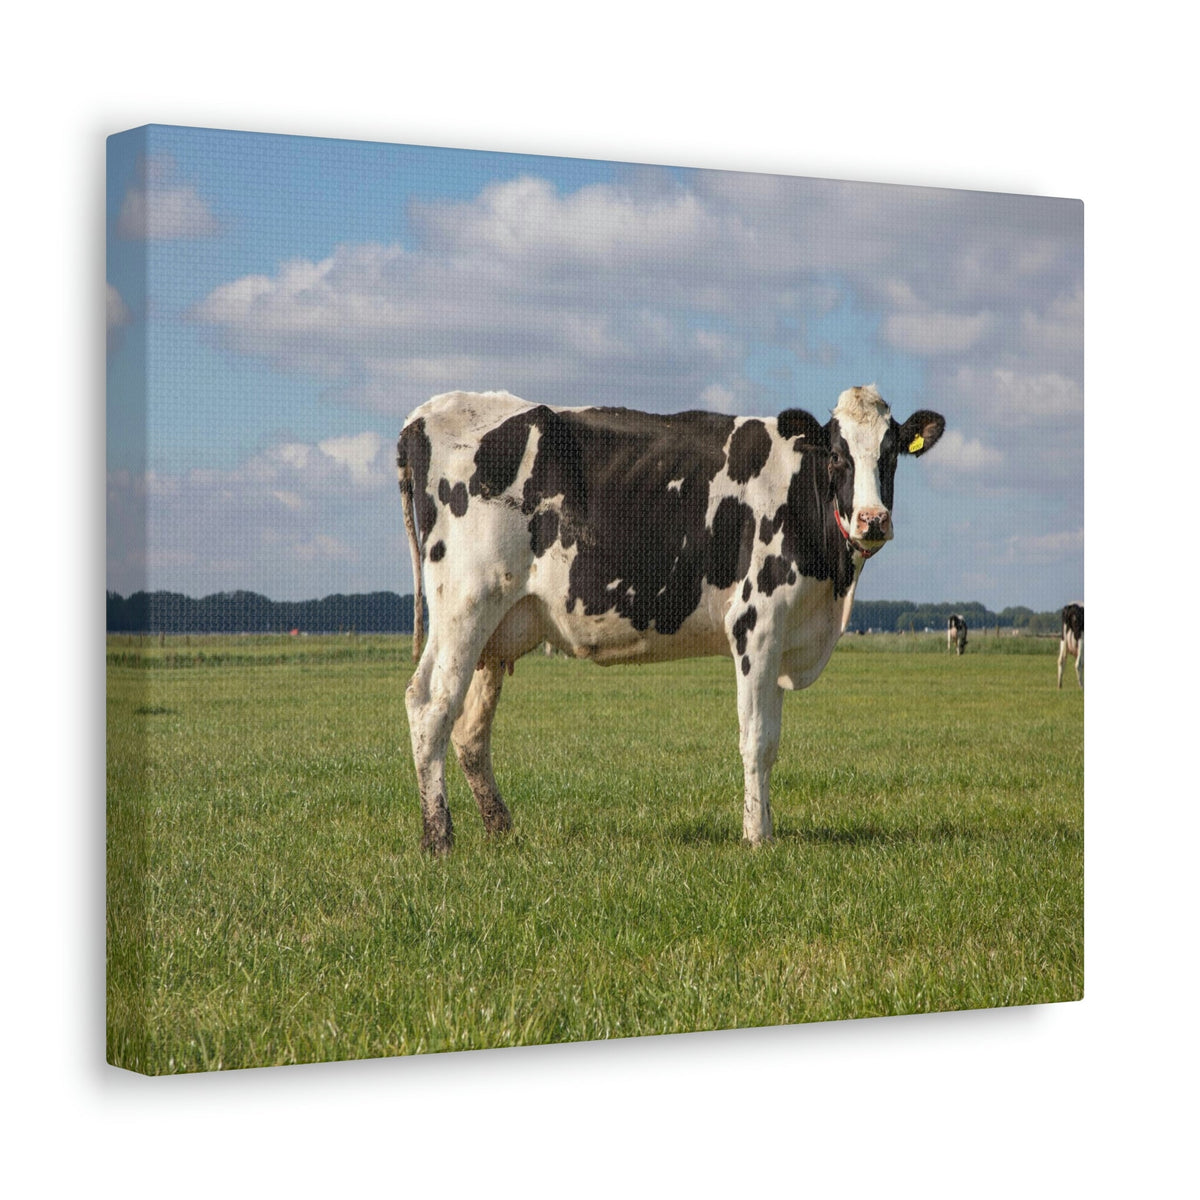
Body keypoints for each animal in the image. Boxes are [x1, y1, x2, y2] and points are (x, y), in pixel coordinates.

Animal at [397, 385, 944, 853]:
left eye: (890, 452)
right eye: (836, 455)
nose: (872, 519)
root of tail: (425, 414)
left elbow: (771, 740)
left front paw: (762, 827)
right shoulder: (756, 623)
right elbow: (757, 739)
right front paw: (757, 835)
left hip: (497, 628)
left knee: (470, 730)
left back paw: (501, 829)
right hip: (464, 602)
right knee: (430, 706)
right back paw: (438, 838)